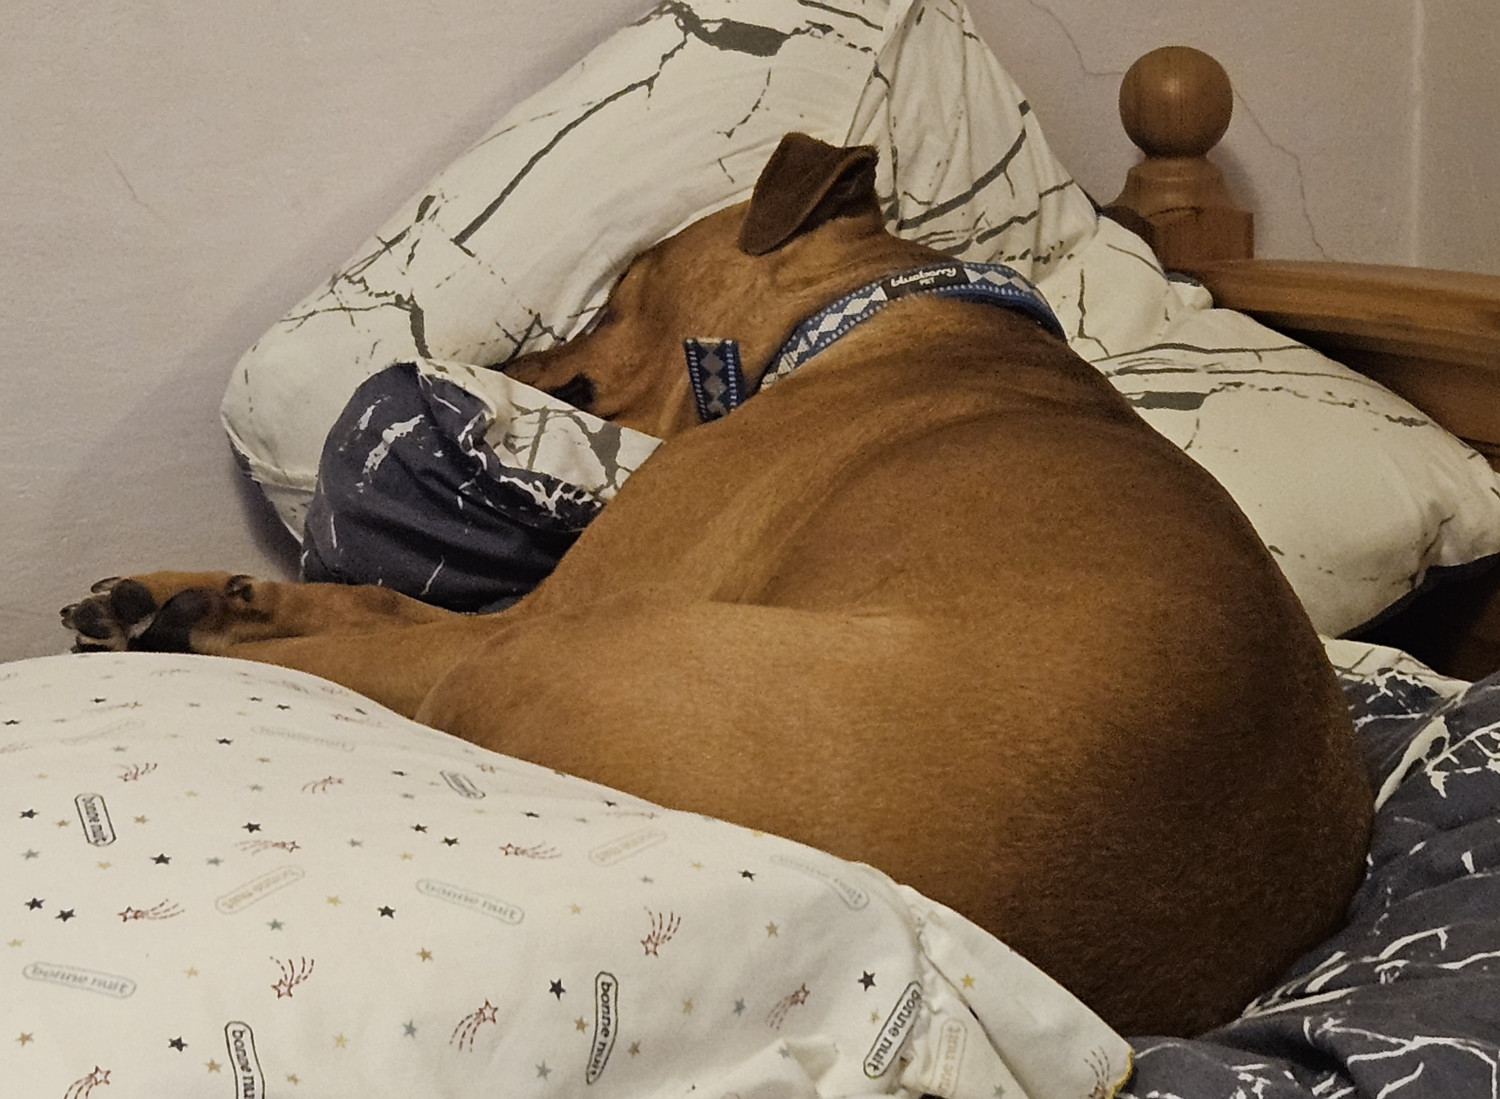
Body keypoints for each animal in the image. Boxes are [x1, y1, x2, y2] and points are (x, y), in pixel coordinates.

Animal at [61, 132, 1374, 1031]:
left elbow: (380, 618)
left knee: (378, 663)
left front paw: (197, 610)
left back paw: (179, 631)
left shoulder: (559, 602)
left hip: (559, 648)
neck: (874, 317)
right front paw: (190, 586)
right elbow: (373, 594)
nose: (513, 354)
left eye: (619, 286)